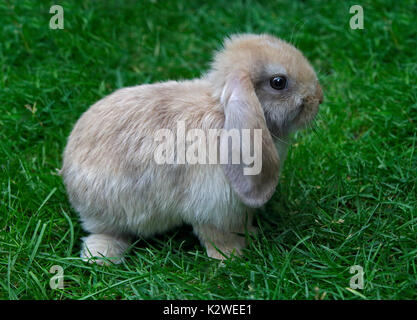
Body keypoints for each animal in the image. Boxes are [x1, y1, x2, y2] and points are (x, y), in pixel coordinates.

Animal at [61, 33, 322, 264]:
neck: (223, 114)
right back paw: (102, 256)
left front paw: (253, 234)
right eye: (278, 82)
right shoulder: (216, 208)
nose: (318, 98)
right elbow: (218, 237)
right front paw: (230, 258)